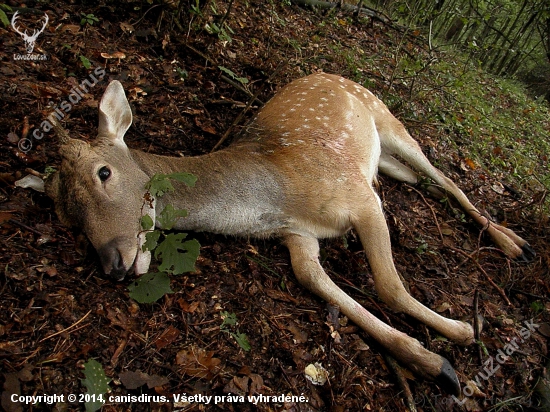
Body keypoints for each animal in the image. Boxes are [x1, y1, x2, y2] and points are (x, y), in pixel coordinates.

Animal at [45, 72, 536, 394]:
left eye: (104, 172)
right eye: (68, 215)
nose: (114, 264)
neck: (273, 203)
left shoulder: (359, 197)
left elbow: (390, 286)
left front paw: (462, 335)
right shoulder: (298, 238)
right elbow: (312, 279)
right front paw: (433, 363)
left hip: (385, 115)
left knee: (445, 177)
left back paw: (515, 243)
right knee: (417, 179)